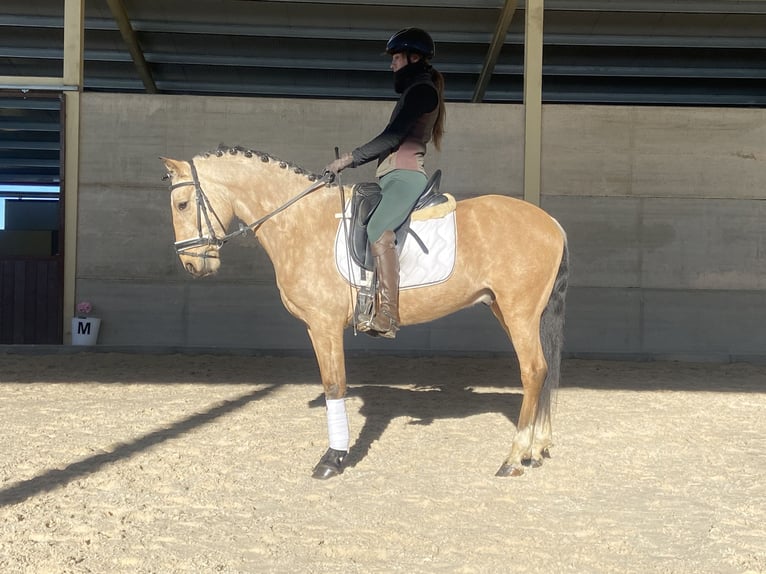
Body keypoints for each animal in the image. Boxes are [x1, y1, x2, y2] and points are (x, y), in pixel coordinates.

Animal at [162, 146, 568, 480]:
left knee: (534, 371)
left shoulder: (323, 325)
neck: (301, 220)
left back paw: (514, 457)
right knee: (545, 370)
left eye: (181, 204)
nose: (191, 264)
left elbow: (333, 385)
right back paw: (536, 449)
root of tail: (551, 223)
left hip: (518, 312)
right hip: (506, 310)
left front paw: (332, 458)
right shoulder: (317, 327)